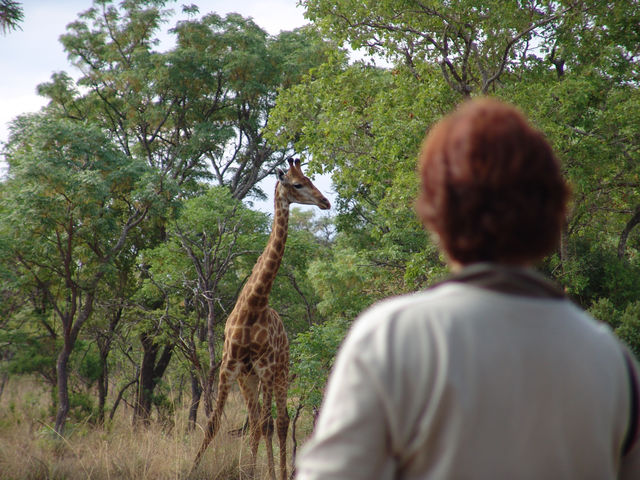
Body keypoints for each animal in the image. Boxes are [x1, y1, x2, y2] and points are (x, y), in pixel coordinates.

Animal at [192, 158, 330, 480]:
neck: (253, 306)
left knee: (279, 422)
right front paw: (192, 468)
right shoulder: (229, 368)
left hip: (279, 373)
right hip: (249, 379)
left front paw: (264, 472)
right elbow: (213, 424)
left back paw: (278, 471)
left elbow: (270, 424)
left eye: (310, 179)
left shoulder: (266, 369)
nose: (325, 202)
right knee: (258, 422)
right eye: (298, 183)